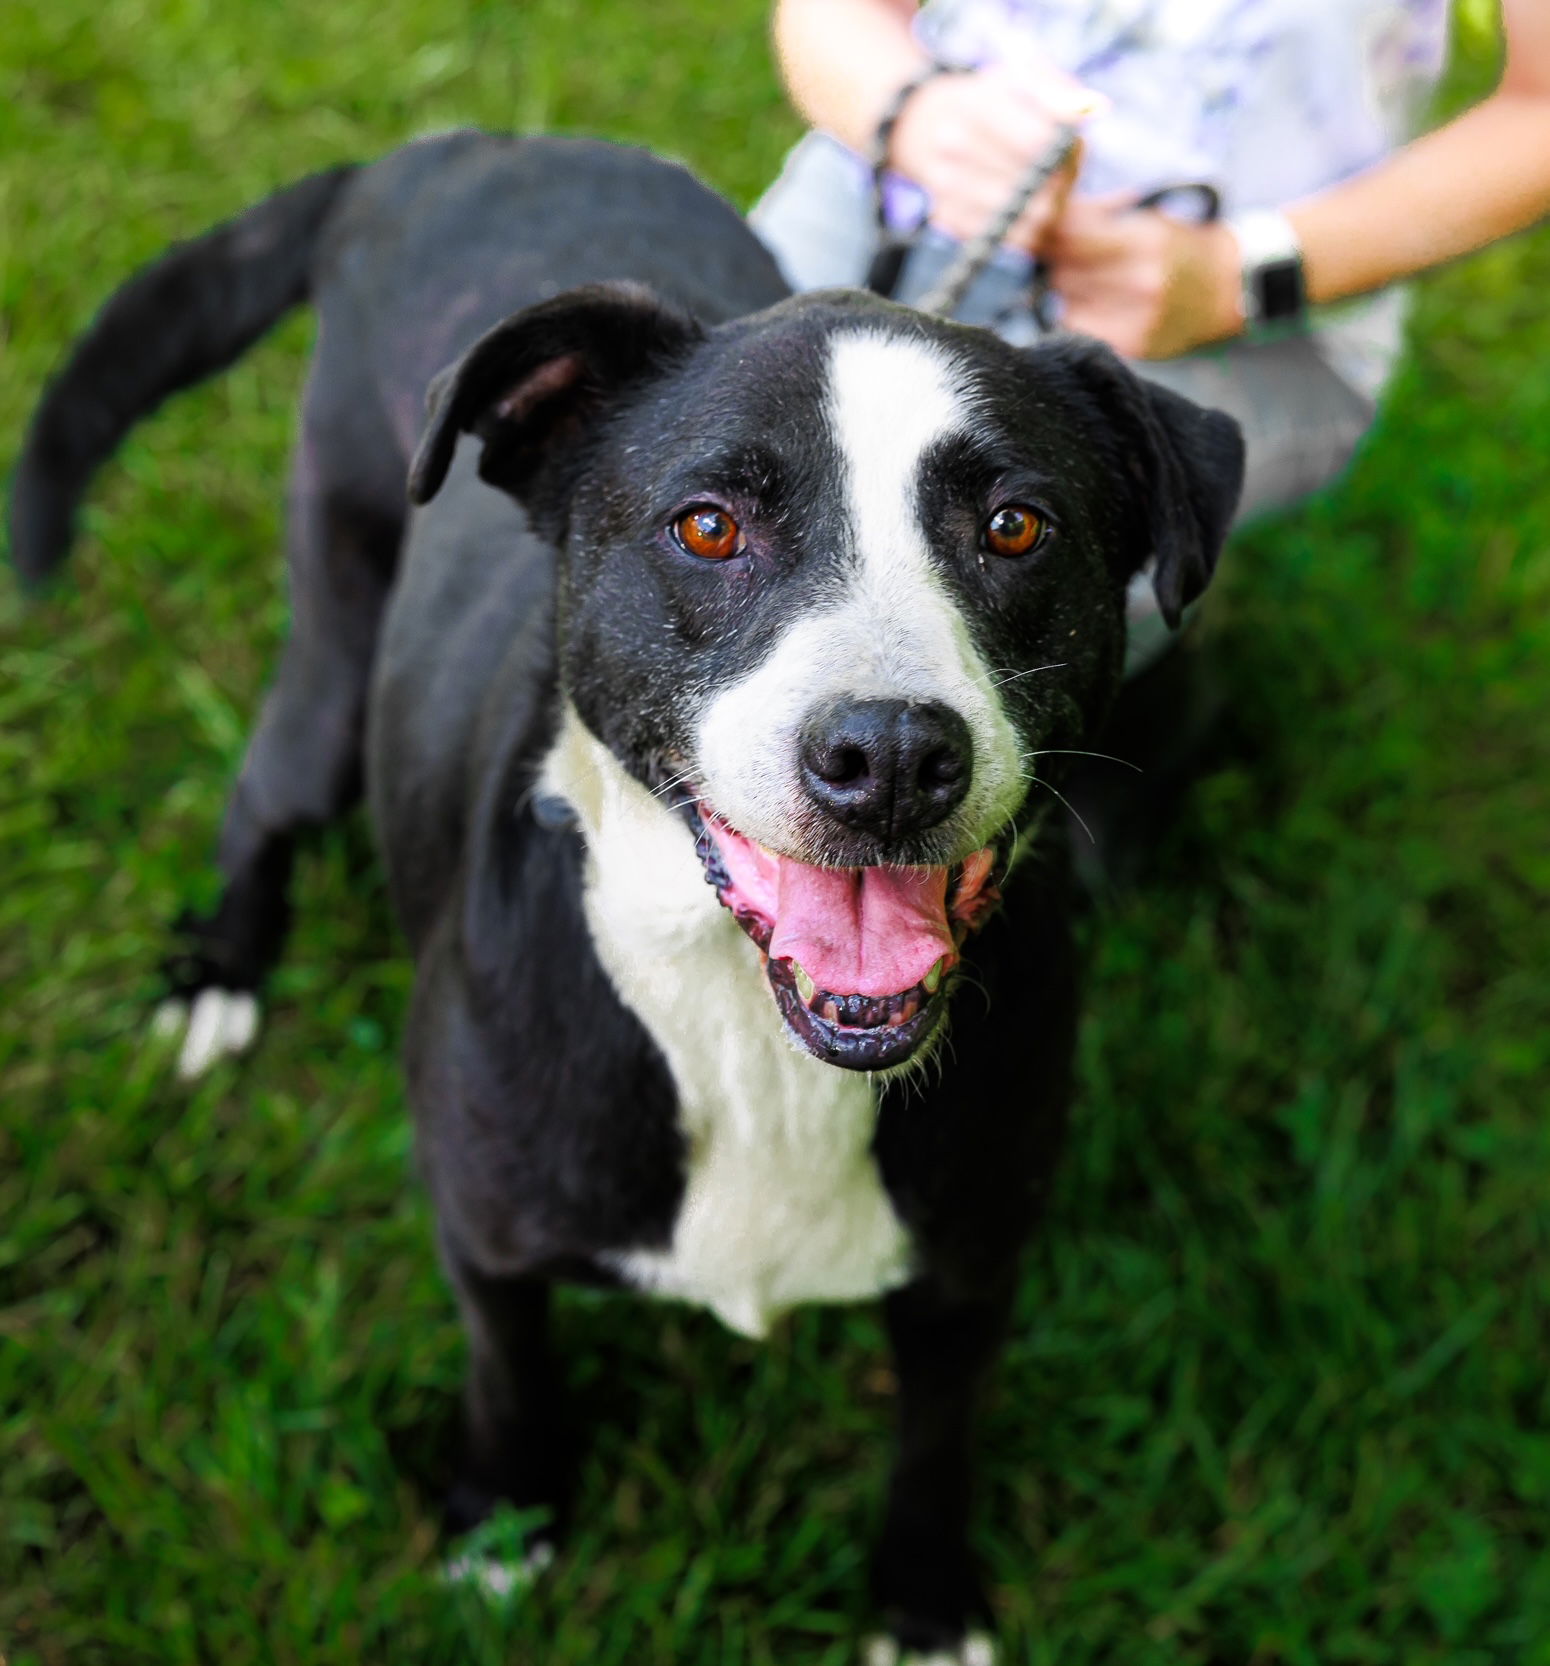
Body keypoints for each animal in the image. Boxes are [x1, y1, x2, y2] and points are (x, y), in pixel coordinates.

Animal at [12, 133, 1240, 1666]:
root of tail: (448, 148)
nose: (891, 756)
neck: (748, 1034)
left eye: (1016, 525)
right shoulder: (484, 1234)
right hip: (334, 647)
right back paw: (221, 974)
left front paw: (919, 1596)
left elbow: (935, 1433)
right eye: (706, 526)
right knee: (263, 793)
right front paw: (505, 1520)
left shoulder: (970, 1265)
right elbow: (510, 1369)